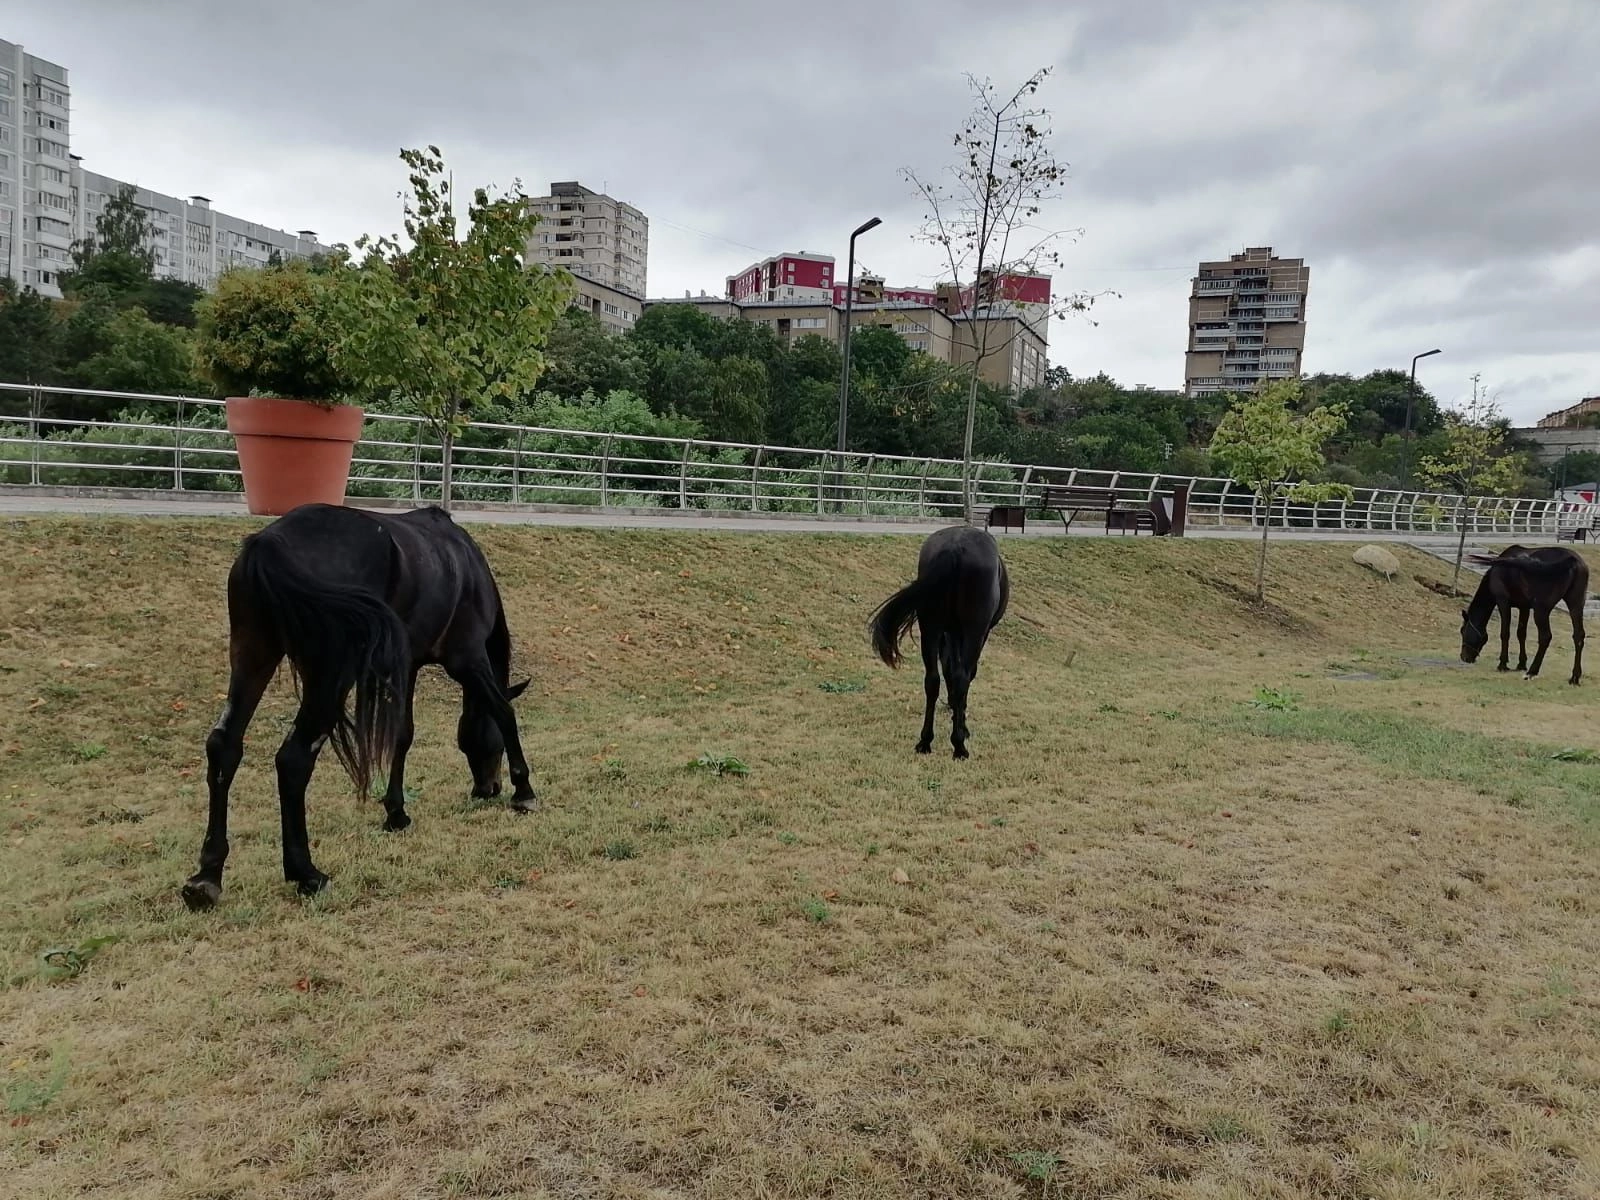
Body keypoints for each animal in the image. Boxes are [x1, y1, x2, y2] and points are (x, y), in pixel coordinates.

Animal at [182, 504, 536, 911]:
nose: (487, 788)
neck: (465, 566)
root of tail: (270, 544)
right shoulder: (467, 660)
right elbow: (504, 712)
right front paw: (524, 791)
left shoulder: (407, 665)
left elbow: (402, 735)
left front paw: (396, 813)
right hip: (328, 678)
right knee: (294, 759)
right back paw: (306, 873)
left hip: (252, 656)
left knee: (225, 747)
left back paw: (206, 877)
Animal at [869, 526, 1009, 759]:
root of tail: (954, 547)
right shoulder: (977, 634)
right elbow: (965, 674)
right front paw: (962, 724)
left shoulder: (949, 634)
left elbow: (947, 669)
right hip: (973, 631)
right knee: (961, 678)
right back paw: (959, 746)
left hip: (930, 628)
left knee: (932, 680)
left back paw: (925, 741)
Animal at [1460, 546, 1588, 685]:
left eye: (1462, 631)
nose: (1464, 657)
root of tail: (1573, 561)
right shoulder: (1524, 607)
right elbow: (1521, 634)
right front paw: (1521, 664)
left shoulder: (1502, 601)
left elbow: (1505, 633)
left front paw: (1502, 664)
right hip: (1576, 605)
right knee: (1578, 636)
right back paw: (1574, 677)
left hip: (1541, 610)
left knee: (1545, 637)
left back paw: (1531, 672)